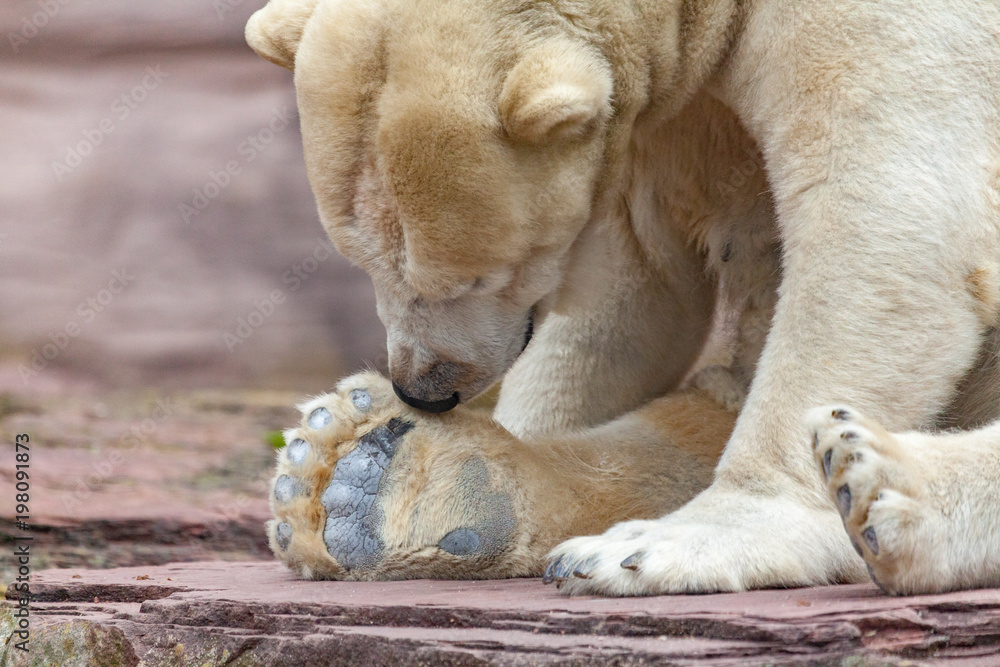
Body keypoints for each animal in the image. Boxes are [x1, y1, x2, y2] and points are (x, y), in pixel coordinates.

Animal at [247, 0, 1000, 596]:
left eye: (475, 278)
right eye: (364, 262)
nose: (425, 388)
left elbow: (882, 216)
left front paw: (702, 537)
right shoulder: (650, 117)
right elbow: (629, 292)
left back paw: (885, 485)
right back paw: (376, 478)